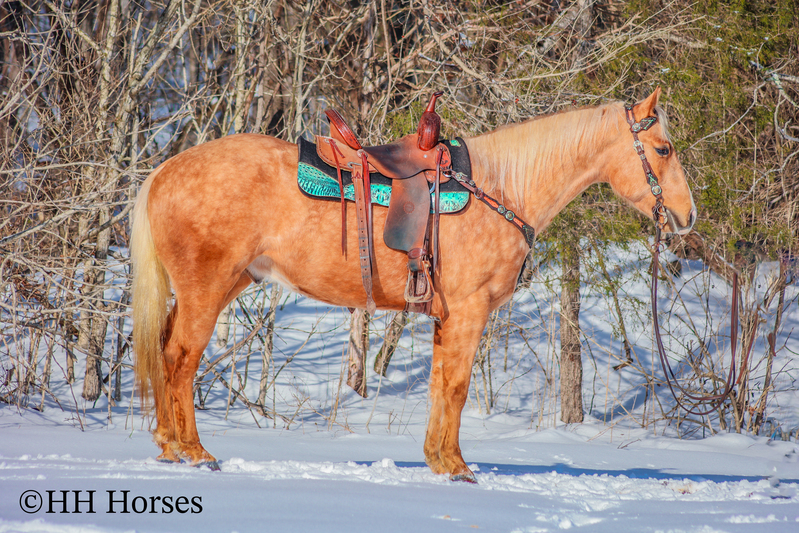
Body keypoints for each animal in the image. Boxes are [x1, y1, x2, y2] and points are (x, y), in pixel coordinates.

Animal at [131, 87, 692, 478]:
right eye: (663, 149)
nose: (686, 217)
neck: (501, 188)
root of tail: (164, 171)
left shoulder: (449, 317)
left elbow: (441, 386)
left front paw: (439, 460)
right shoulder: (469, 311)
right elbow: (458, 387)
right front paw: (458, 468)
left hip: (222, 286)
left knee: (165, 351)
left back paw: (167, 445)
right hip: (206, 290)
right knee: (180, 359)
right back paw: (193, 451)